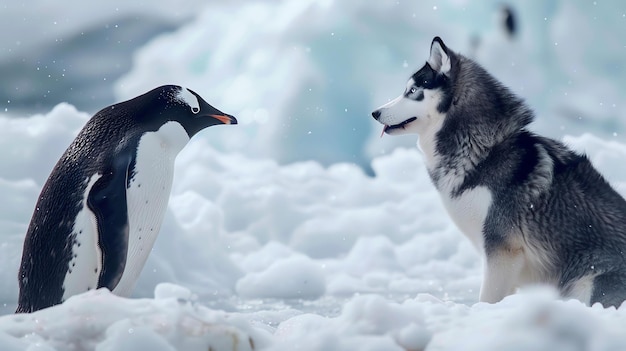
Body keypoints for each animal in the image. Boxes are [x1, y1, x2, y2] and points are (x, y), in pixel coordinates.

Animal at [368, 36, 624, 308]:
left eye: (413, 91)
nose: (375, 113)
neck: (484, 151)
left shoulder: (501, 248)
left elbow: (487, 299)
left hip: (587, 283)